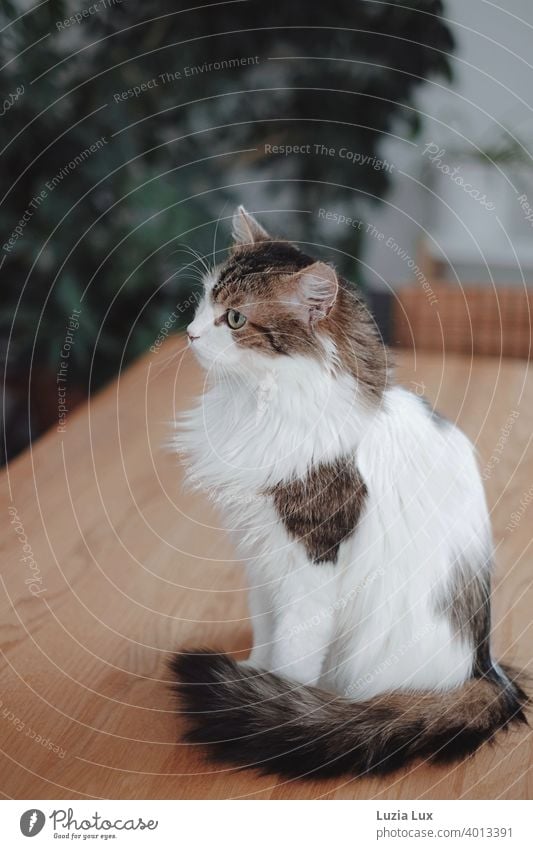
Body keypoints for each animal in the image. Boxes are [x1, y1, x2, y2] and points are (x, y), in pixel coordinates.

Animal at [168, 204, 524, 776]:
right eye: (204, 301)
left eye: (235, 319)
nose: (191, 333)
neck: (258, 404)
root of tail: (485, 671)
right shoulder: (261, 560)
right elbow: (265, 636)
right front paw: (252, 680)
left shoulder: (310, 565)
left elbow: (291, 657)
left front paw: (274, 708)